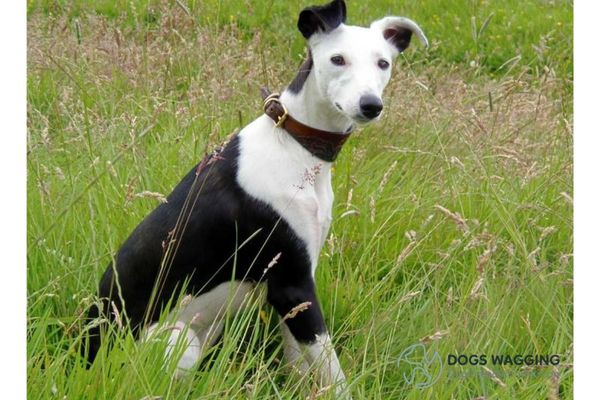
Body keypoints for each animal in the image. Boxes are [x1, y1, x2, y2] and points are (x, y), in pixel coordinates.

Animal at [83, 0, 426, 396]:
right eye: (337, 59)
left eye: (383, 63)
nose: (370, 105)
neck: (296, 145)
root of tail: (84, 354)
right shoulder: (293, 286)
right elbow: (334, 376)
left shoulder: (292, 288)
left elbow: (301, 366)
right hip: (180, 340)